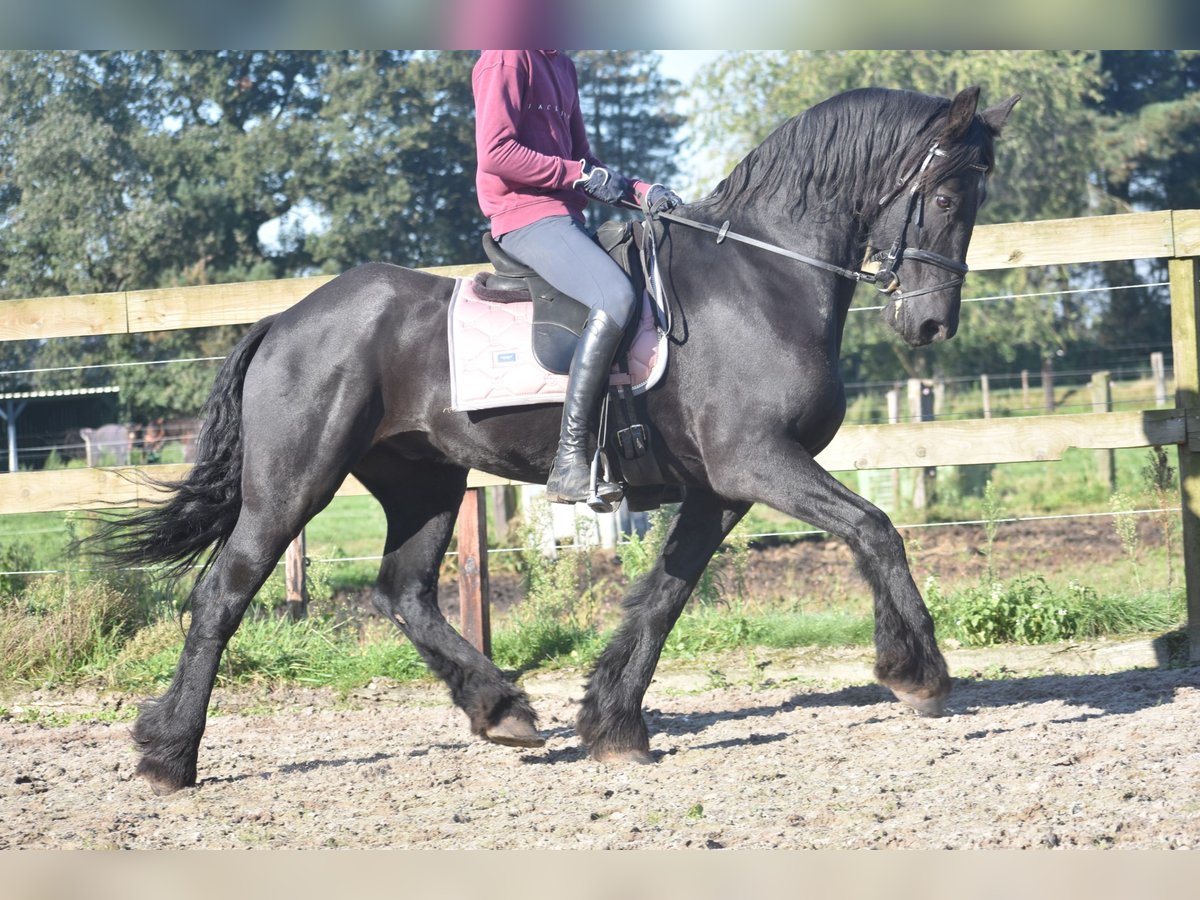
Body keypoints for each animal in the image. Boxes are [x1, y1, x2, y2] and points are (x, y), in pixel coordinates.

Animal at [100, 82, 1012, 787]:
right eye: (943, 199)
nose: (930, 324)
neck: (764, 274)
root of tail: (285, 320)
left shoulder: (720, 488)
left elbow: (664, 596)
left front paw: (612, 724)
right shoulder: (756, 462)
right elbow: (875, 528)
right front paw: (917, 674)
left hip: (425, 480)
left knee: (402, 592)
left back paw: (502, 709)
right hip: (296, 479)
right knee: (224, 593)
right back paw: (169, 755)